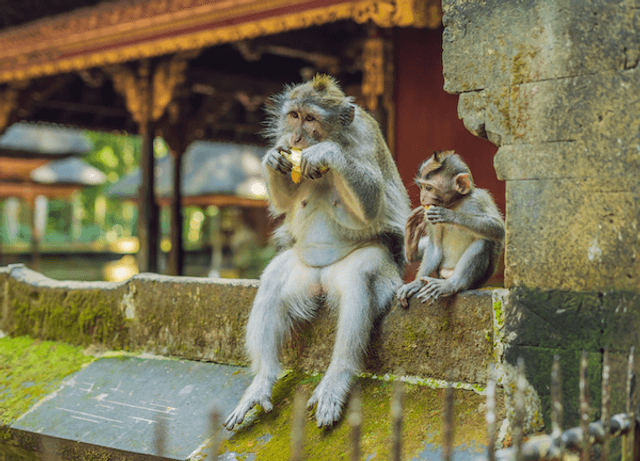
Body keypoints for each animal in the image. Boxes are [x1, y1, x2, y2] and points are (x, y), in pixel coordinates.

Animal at [223, 75, 410, 429]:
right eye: (294, 116)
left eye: (311, 119)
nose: (297, 136)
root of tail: (321, 281)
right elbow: (285, 200)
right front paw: (272, 160)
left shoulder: (365, 139)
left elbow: (371, 204)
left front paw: (328, 153)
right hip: (302, 271)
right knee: (273, 282)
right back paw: (263, 379)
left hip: (362, 269)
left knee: (359, 280)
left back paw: (337, 377)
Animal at [395, 150, 504, 306]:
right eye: (421, 187)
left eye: (429, 188)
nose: (422, 198)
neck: (455, 203)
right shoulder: (429, 216)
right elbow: (434, 247)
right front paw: (416, 284)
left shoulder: (479, 199)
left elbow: (498, 228)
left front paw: (448, 215)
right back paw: (411, 246)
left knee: (484, 240)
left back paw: (452, 284)